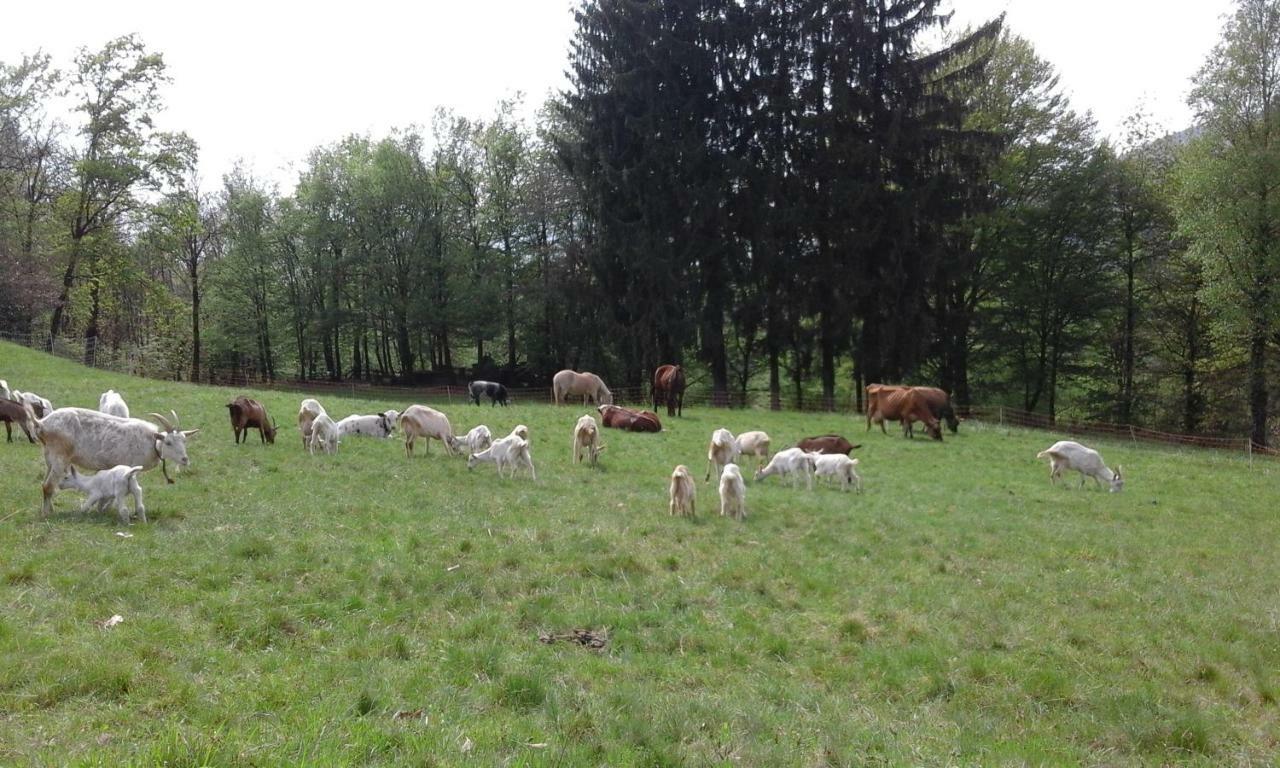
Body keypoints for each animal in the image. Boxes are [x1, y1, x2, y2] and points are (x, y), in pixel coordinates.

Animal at [32, 407, 198, 517]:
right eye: (168, 442)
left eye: (184, 440)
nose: (185, 459)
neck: (151, 442)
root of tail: (42, 423)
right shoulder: (129, 466)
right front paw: (108, 508)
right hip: (59, 457)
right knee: (48, 486)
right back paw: (46, 514)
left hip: (49, 457)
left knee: (46, 484)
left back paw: (49, 509)